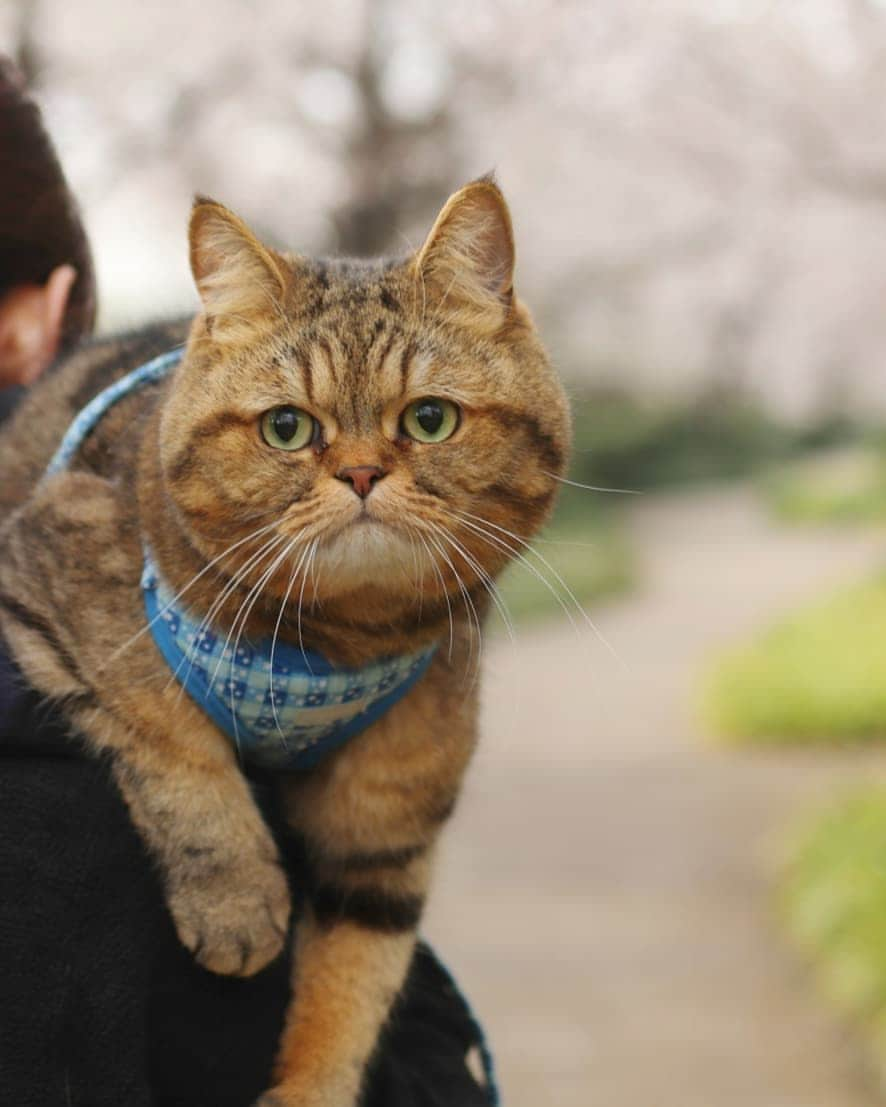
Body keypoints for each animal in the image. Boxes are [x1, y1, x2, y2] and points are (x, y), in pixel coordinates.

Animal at [0, 177, 567, 1102]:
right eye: (287, 429)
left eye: (431, 419)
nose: (363, 472)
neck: (329, 652)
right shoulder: (61, 552)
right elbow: (173, 731)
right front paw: (234, 897)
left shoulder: (383, 840)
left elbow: (350, 992)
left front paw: (309, 1085)